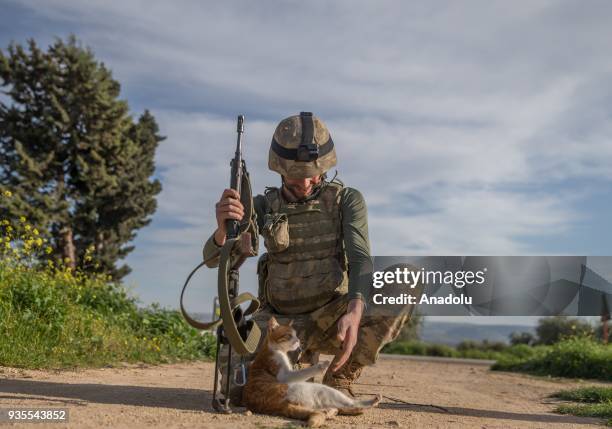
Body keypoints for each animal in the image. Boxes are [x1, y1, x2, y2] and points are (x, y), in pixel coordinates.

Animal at [241, 314, 380, 424]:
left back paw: (331, 411)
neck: (273, 348)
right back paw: (370, 402)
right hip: (316, 389)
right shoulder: (285, 375)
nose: (298, 340)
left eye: (296, 335)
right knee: (350, 402)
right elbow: (304, 371)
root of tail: (279, 407)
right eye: (289, 335)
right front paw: (321, 365)